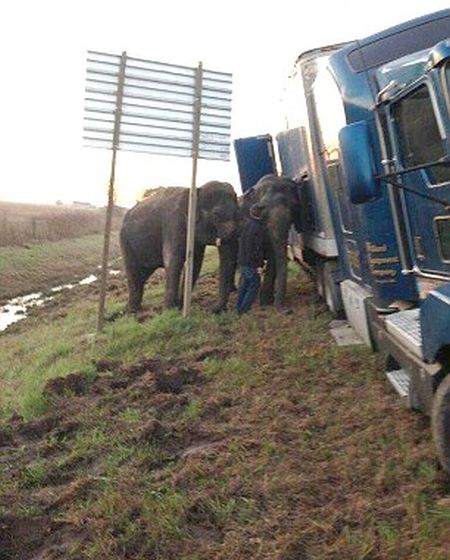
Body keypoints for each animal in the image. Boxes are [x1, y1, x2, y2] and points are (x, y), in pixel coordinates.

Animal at [119, 184, 239, 316]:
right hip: (125, 241)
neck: (196, 190)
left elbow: (196, 263)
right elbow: (173, 261)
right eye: (216, 215)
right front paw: (169, 311)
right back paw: (133, 310)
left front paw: (180, 305)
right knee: (133, 271)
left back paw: (130, 309)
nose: (211, 310)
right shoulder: (173, 223)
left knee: (143, 274)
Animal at [239, 175, 302, 312]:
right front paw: (266, 303)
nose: (287, 310)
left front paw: (267, 302)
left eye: (294, 208)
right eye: (262, 209)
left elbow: (274, 255)